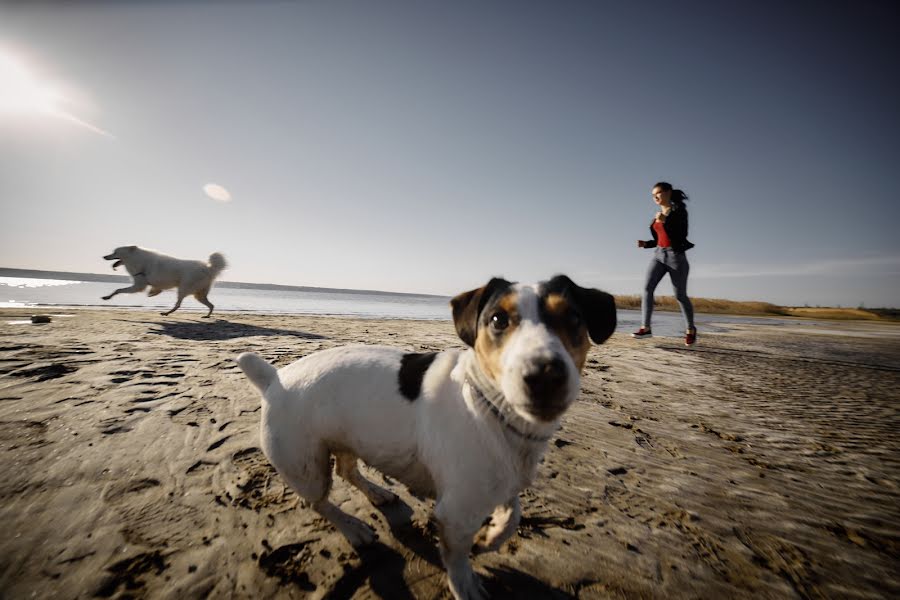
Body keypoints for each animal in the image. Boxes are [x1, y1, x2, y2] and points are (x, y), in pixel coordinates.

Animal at [237, 276, 620, 600]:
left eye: (573, 318)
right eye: (498, 320)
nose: (545, 374)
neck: (491, 408)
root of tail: (274, 378)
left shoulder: (500, 482)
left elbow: (514, 512)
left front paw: (493, 536)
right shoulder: (455, 512)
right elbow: (458, 556)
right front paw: (466, 585)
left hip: (349, 438)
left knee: (348, 470)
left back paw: (377, 493)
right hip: (306, 465)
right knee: (319, 502)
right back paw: (353, 528)